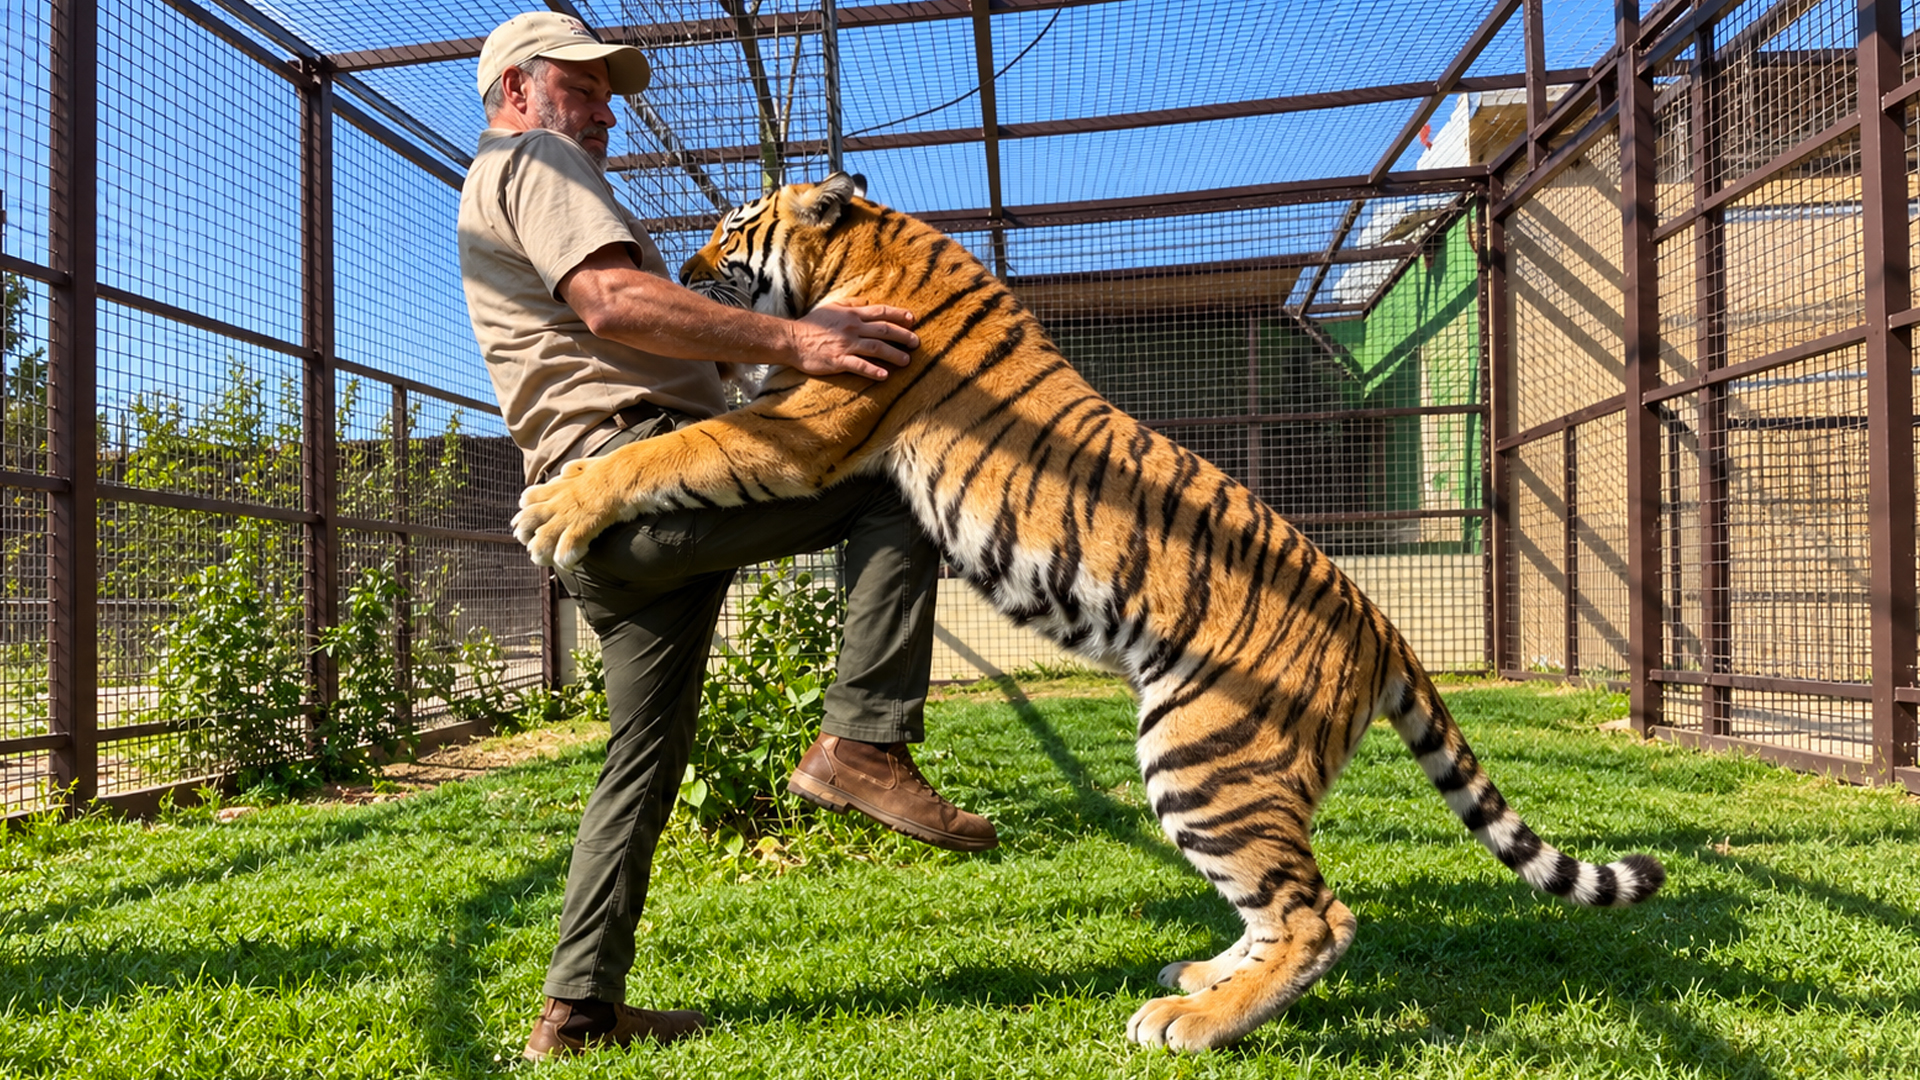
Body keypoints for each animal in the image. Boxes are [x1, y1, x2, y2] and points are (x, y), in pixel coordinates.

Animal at [511, 173, 1665, 1052]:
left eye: (730, 229)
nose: (680, 271)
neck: (871, 247)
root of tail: (1380, 622)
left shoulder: (805, 423)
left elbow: (674, 449)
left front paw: (556, 505)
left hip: (1205, 752)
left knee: (1319, 916)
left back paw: (1191, 1024)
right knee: (1279, 902)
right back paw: (1200, 977)